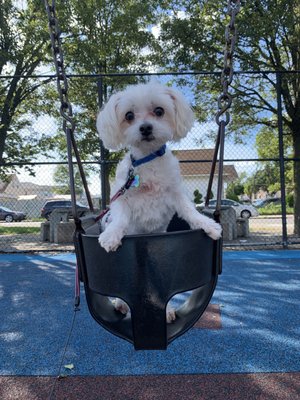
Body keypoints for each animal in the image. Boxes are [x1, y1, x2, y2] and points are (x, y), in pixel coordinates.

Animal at [97, 81, 221, 322]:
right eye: (128, 115)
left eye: (159, 111)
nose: (145, 128)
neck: (148, 160)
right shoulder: (121, 194)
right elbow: (120, 218)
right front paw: (111, 235)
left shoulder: (176, 192)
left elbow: (189, 210)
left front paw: (207, 224)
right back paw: (121, 303)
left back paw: (168, 310)